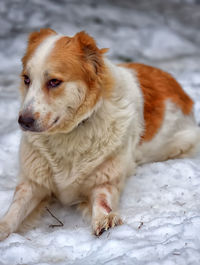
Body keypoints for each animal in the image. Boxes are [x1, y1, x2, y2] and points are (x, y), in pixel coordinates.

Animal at [0, 27, 200, 238]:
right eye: (26, 80)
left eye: (54, 82)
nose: (23, 121)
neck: (70, 134)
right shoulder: (32, 183)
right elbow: (13, 212)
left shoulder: (105, 180)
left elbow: (102, 201)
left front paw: (105, 219)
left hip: (182, 144)